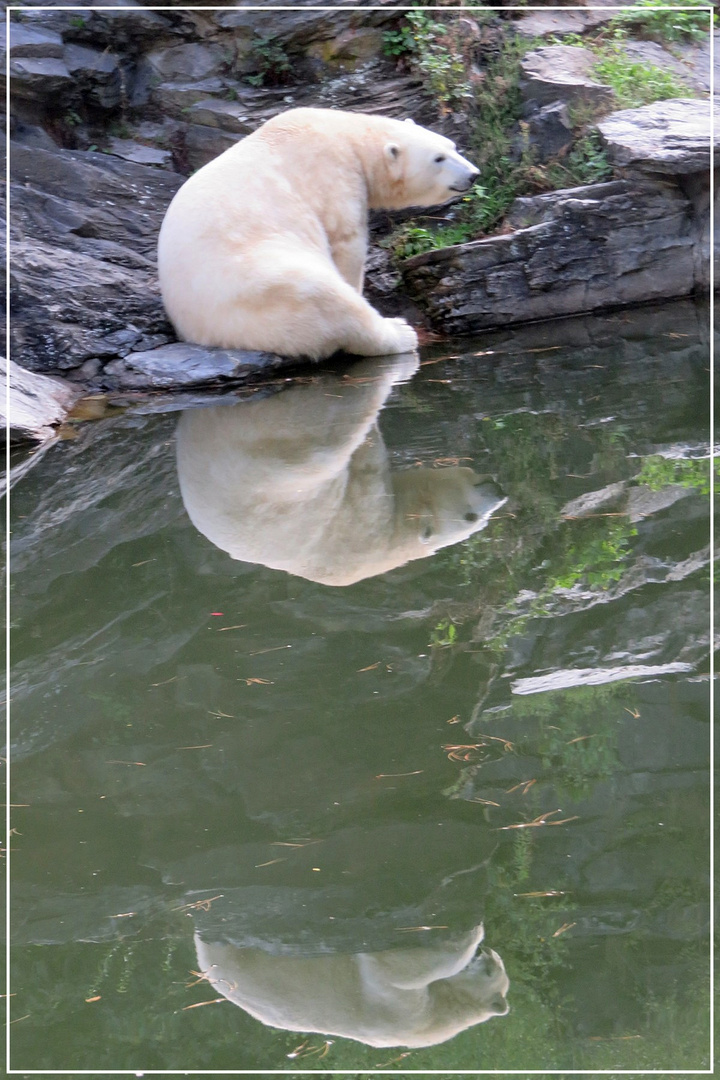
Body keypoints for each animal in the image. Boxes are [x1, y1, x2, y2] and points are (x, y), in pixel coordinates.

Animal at [160, 106, 481, 358]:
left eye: (453, 146)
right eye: (438, 159)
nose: (473, 174)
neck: (347, 135)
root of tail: (200, 331)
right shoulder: (332, 174)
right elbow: (346, 241)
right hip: (267, 290)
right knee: (330, 300)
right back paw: (401, 332)